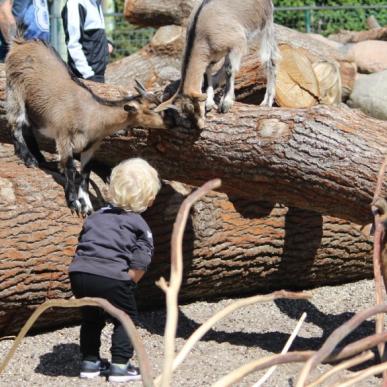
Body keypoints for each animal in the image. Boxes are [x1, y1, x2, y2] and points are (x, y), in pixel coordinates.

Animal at [5, 36, 167, 217]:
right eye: (152, 108)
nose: (170, 121)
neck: (91, 115)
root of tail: (19, 43)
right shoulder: (64, 136)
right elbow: (69, 167)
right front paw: (74, 203)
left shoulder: (91, 146)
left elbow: (85, 174)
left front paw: (87, 205)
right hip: (15, 88)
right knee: (16, 122)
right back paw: (29, 159)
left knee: (27, 127)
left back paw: (41, 159)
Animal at [155, 0, 278, 130]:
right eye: (183, 114)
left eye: (195, 107)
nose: (200, 126)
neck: (201, 34)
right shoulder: (211, 55)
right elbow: (207, 73)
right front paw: (209, 101)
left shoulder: (236, 43)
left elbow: (230, 70)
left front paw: (226, 103)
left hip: (265, 24)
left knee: (270, 60)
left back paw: (267, 102)